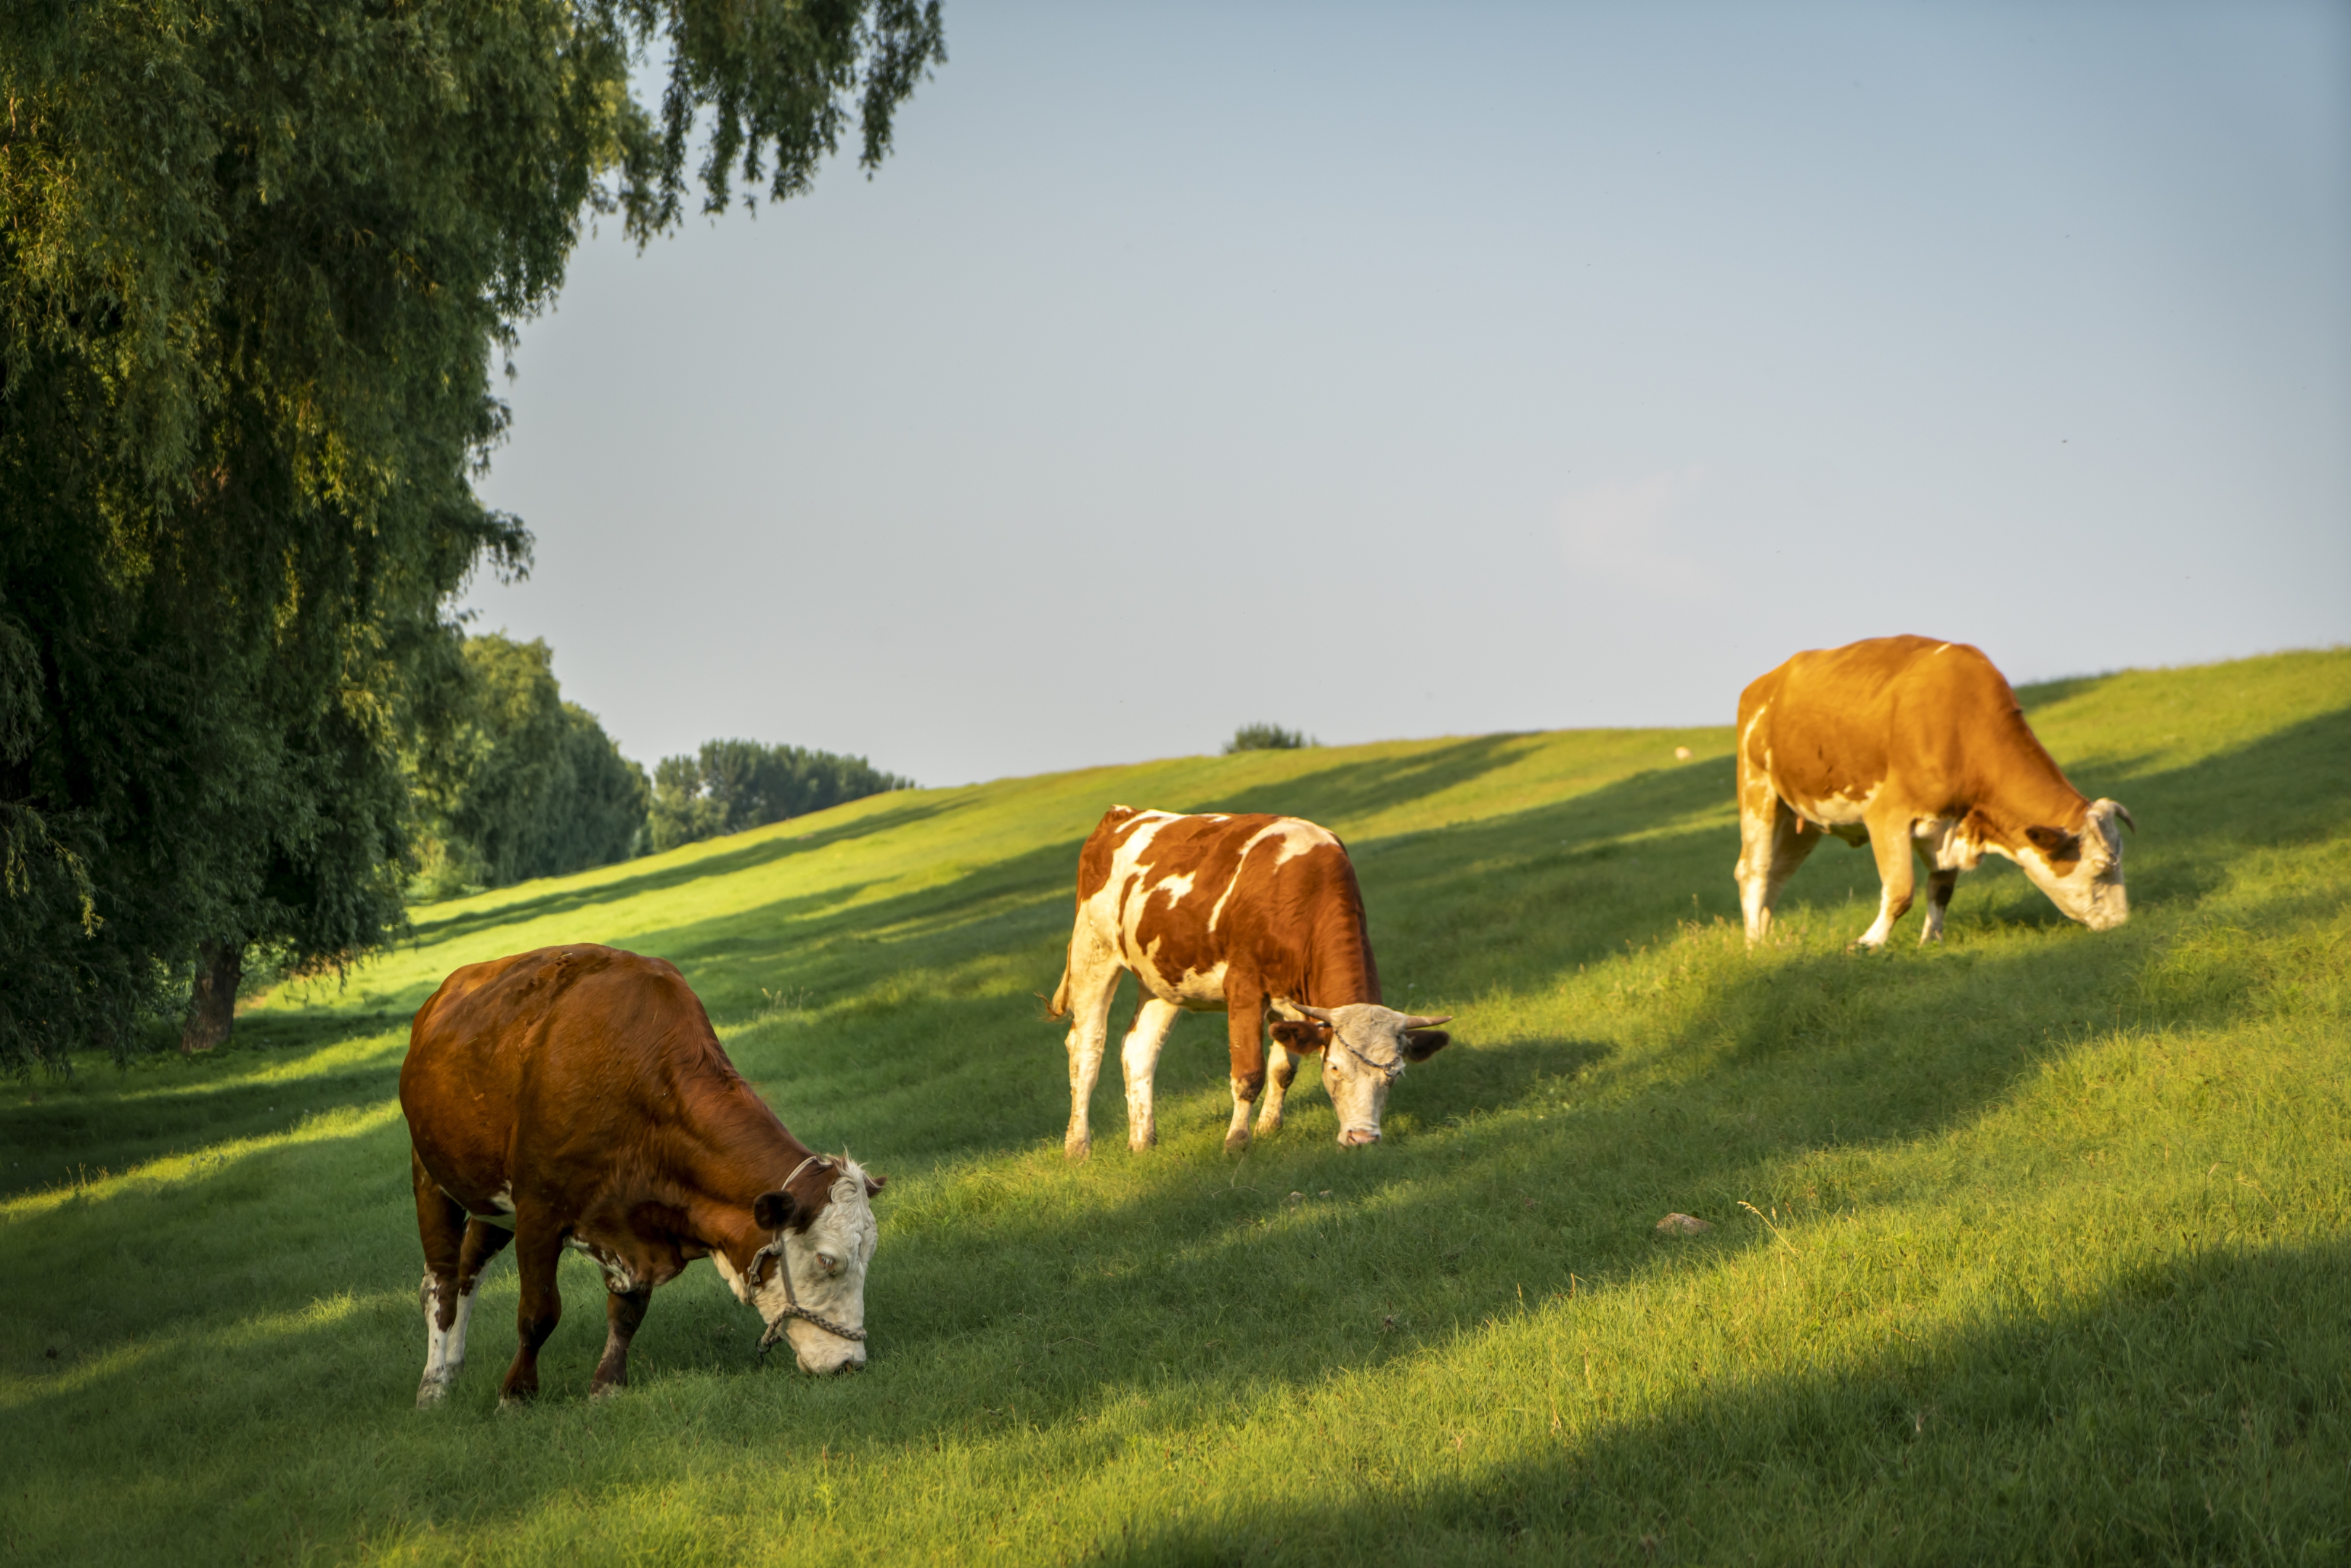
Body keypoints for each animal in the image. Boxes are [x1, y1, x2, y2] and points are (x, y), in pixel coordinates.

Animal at [399, 944, 884, 1410]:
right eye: (826, 1260)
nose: (851, 1363)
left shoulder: (635, 1227)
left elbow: (628, 1311)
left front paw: (607, 1386)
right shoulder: (540, 1212)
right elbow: (538, 1313)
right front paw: (516, 1394)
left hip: (491, 1201)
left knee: (469, 1269)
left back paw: (453, 1363)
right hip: (430, 1174)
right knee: (441, 1283)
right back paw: (433, 1385)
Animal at [1043, 817, 1448, 1161]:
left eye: (1394, 1074)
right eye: (1334, 1068)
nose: (1362, 1139)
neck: (1301, 892)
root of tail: (1122, 815)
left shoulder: (1295, 1003)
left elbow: (1282, 1069)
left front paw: (1269, 1127)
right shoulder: (1245, 988)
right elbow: (1249, 1074)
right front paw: (1237, 1142)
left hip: (1161, 977)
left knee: (1139, 1049)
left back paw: (1143, 1142)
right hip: (1093, 953)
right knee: (1086, 1049)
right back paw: (1078, 1147)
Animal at [1730, 634, 2135, 944]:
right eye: (2101, 868)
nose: (2123, 924)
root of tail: (1764, 682)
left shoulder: (1950, 825)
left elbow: (1941, 889)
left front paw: (1932, 941)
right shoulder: (1887, 813)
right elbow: (1900, 891)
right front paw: (1868, 943)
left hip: (1801, 816)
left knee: (1778, 873)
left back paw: (1769, 940)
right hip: (1757, 787)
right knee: (1754, 869)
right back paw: (1753, 946)